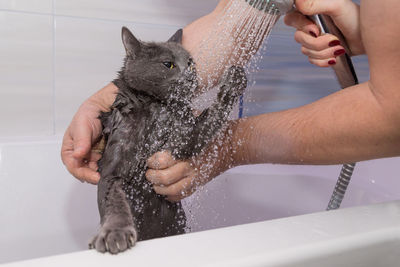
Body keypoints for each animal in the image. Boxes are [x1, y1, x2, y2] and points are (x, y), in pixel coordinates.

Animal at [90, 27, 247, 255]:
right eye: (168, 64)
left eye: (190, 63)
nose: (190, 74)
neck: (157, 108)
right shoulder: (113, 170)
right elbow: (115, 202)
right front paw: (115, 233)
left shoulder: (183, 140)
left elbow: (211, 117)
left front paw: (235, 79)